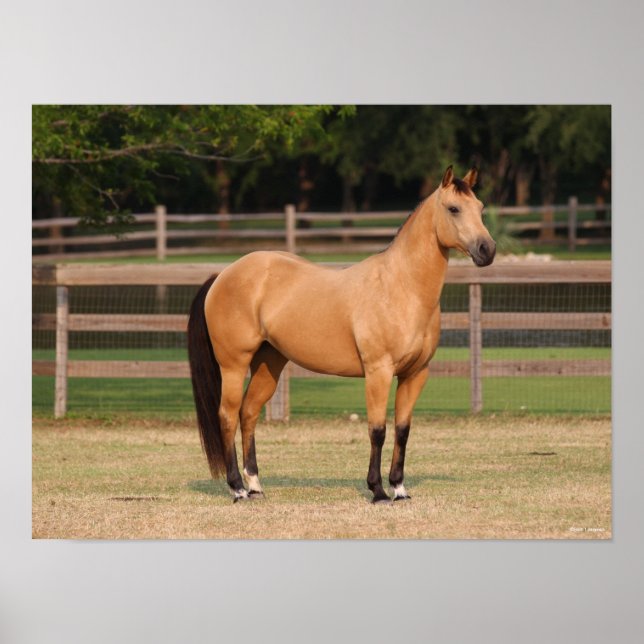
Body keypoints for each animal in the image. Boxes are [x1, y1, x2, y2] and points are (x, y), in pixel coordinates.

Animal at [187, 166, 496, 503]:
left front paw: (399, 488)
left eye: (480, 207)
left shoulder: (415, 374)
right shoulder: (378, 372)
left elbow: (402, 429)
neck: (400, 287)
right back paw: (238, 489)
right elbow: (378, 430)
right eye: (453, 209)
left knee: (248, 413)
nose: (487, 250)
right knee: (228, 416)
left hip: (269, 365)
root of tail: (223, 274)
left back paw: (255, 485)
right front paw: (378, 491)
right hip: (233, 365)